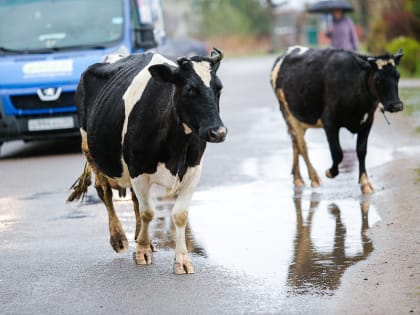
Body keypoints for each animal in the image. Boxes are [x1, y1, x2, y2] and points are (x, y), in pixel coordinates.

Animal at [68, 48, 226, 274]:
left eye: (219, 88)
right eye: (190, 89)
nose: (218, 132)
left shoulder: (193, 169)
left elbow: (180, 214)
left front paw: (182, 259)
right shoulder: (138, 168)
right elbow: (148, 212)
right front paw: (141, 251)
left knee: (134, 198)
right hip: (89, 150)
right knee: (105, 191)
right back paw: (119, 238)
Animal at [270, 45, 402, 194]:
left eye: (397, 76)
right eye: (378, 79)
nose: (396, 105)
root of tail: (286, 53)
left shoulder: (368, 122)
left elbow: (361, 151)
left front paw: (365, 183)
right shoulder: (329, 122)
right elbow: (338, 153)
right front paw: (330, 172)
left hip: (300, 118)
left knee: (295, 144)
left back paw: (297, 178)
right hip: (288, 114)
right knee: (302, 146)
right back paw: (314, 178)